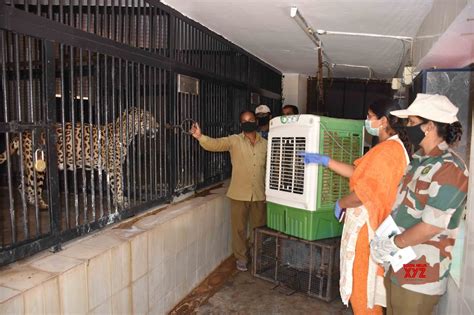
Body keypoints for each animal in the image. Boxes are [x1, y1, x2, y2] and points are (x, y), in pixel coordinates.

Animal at [0, 108, 159, 210]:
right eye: (147, 119)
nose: (157, 127)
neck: (127, 134)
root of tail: (23, 133)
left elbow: (115, 184)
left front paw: (118, 200)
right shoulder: (115, 166)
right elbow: (118, 184)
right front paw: (120, 201)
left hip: (26, 166)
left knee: (22, 186)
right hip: (37, 167)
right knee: (32, 188)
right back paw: (41, 205)